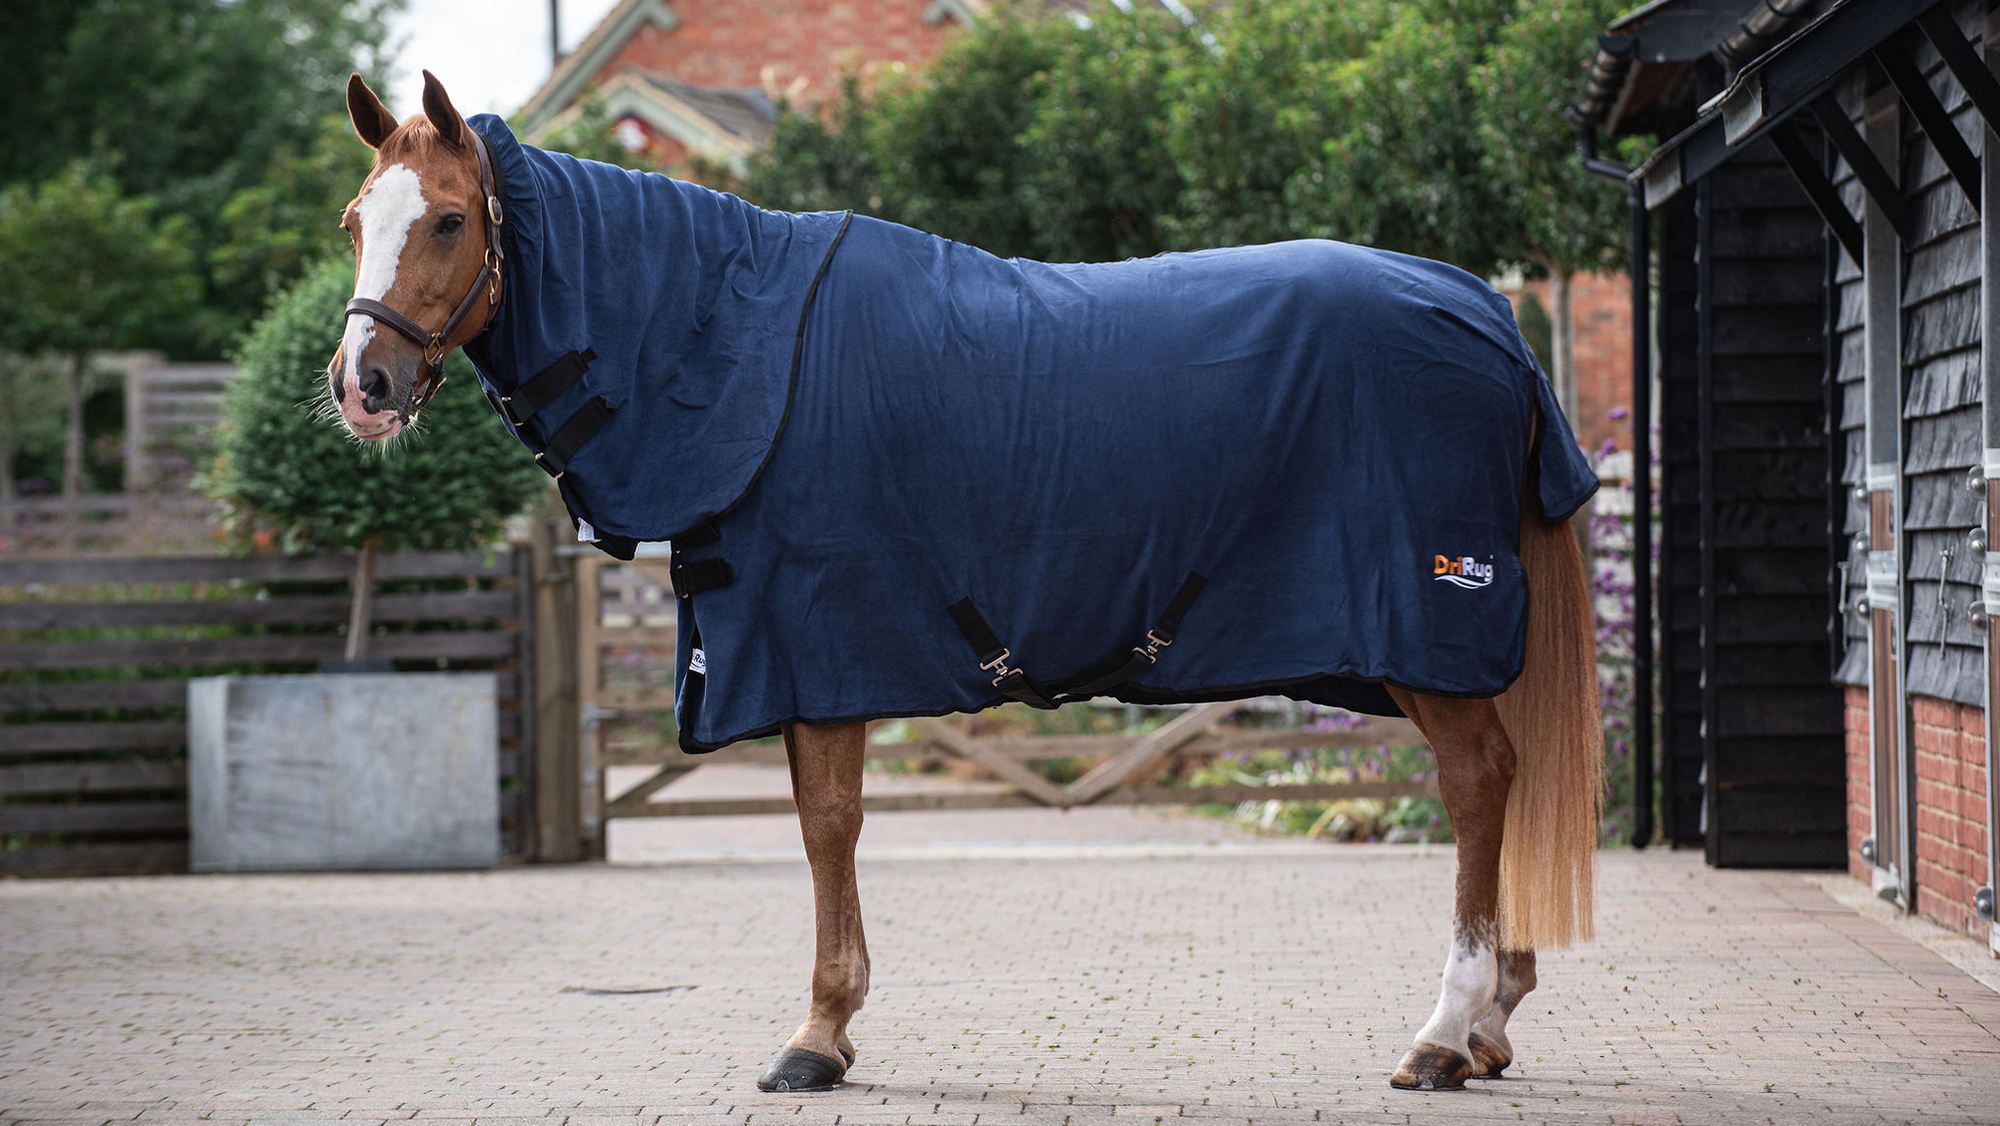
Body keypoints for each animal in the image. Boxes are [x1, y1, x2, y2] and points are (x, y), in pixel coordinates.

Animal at [326, 70, 1602, 1094]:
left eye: (449, 219)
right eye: (354, 221)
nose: (361, 384)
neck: (737, 347)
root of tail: (1487, 312)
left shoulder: (818, 644)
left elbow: (827, 825)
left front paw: (817, 1034)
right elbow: (822, 824)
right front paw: (831, 1028)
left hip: (1426, 634)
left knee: (1478, 783)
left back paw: (1442, 1031)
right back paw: (1489, 1021)